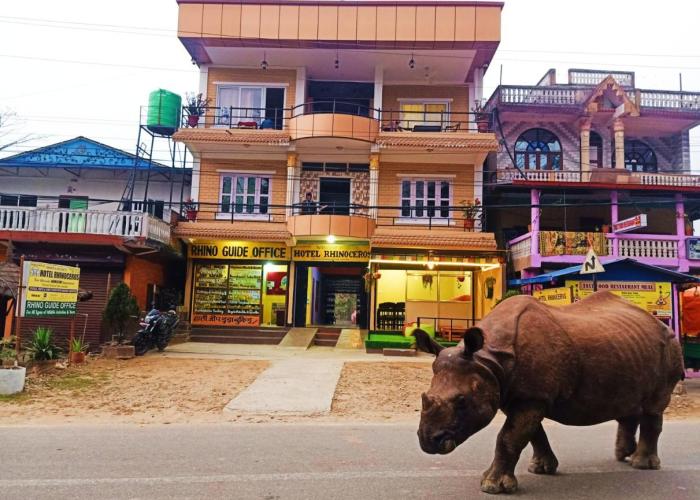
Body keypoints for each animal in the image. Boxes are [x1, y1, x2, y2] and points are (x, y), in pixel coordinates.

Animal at [413, 291, 685, 494]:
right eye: (424, 396)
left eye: (462, 401)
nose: (428, 442)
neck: (488, 358)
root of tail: (657, 320)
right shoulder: (518, 394)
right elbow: (531, 434)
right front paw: (542, 469)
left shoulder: (531, 397)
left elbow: (509, 437)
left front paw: (492, 486)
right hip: (629, 347)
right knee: (629, 400)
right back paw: (623, 456)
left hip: (670, 346)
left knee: (654, 406)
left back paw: (641, 465)